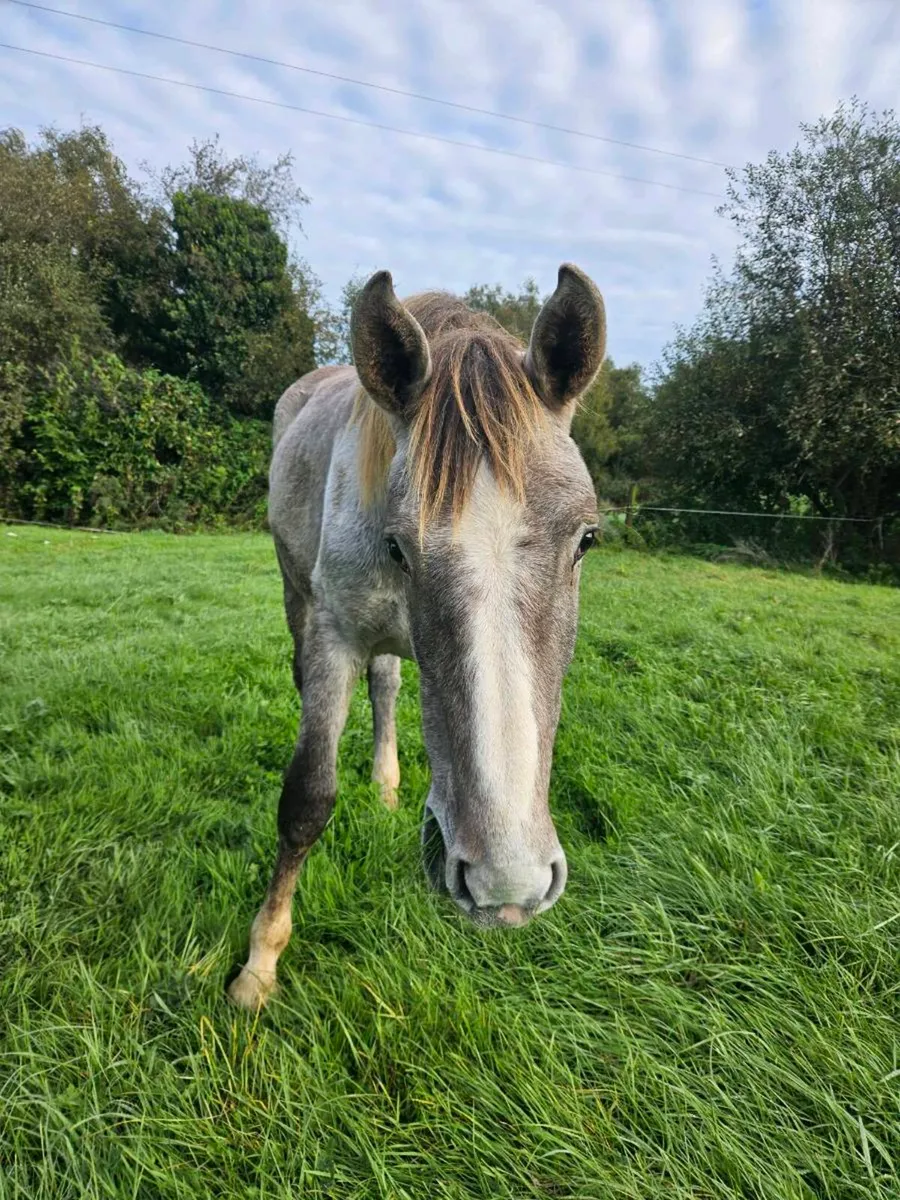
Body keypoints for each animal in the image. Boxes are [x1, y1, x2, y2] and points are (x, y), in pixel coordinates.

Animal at [228, 263, 606, 1010]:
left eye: (586, 538)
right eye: (399, 546)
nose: (506, 887)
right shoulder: (333, 637)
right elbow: (306, 799)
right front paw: (259, 964)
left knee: (387, 685)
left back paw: (386, 786)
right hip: (294, 593)